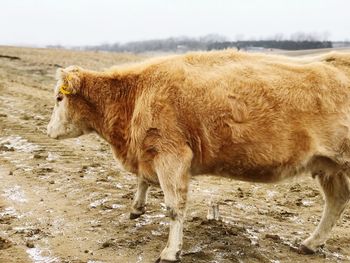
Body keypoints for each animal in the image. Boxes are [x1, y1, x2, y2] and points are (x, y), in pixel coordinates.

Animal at [47, 50, 350, 262]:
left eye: (59, 99)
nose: (48, 130)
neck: (136, 94)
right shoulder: (151, 153)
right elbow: (144, 181)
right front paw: (137, 207)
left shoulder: (172, 155)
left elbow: (174, 207)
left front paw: (171, 251)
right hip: (329, 166)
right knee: (336, 200)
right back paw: (310, 244)